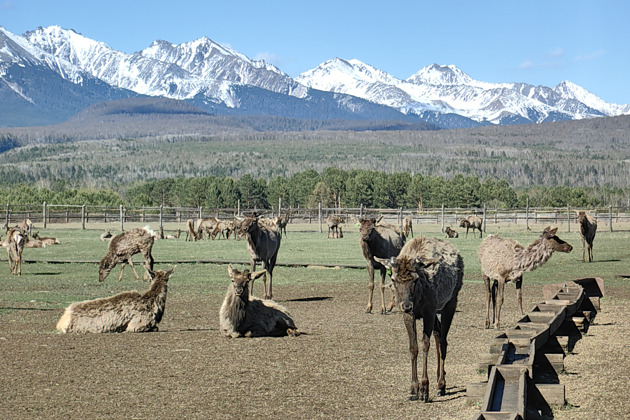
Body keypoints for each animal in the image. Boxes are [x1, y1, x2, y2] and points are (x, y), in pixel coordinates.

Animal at [376, 235, 464, 402]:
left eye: (415, 279)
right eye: (394, 279)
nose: (406, 305)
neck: (417, 298)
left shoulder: (428, 311)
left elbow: (425, 344)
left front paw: (424, 389)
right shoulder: (409, 315)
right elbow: (413, 347)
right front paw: (413, 389)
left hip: (450, 301)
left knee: (443, 340)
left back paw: (441, 384)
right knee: (438, 333)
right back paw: (439, 380)